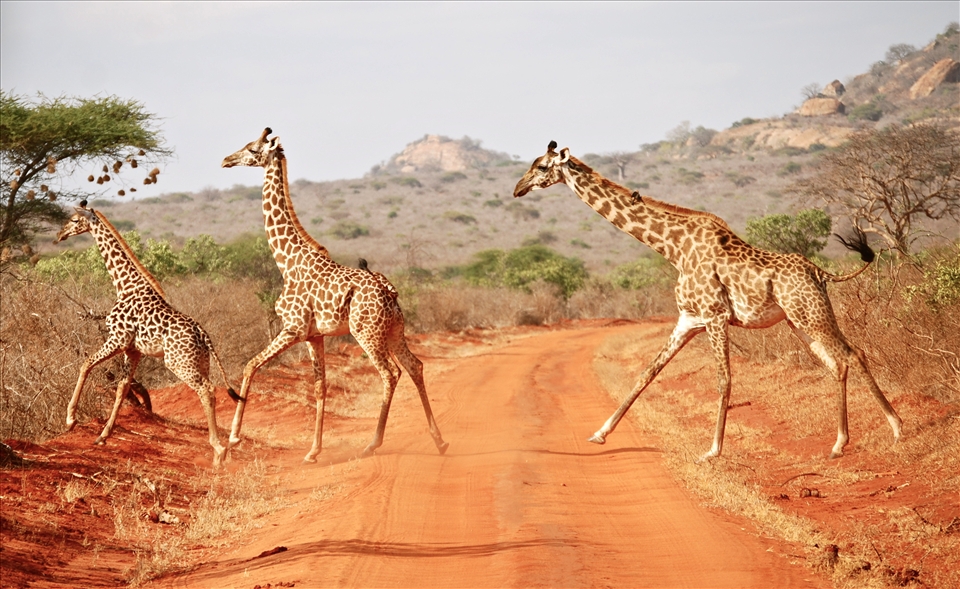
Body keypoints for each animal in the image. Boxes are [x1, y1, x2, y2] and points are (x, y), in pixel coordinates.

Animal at [54, 202, 239, 467]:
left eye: (74, 219)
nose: (59, 235)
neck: (124, 286)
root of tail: (204, 335)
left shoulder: (117, 339)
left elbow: (85, 364)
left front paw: (70, 420)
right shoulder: (133, 350)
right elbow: (122, 387)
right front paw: (102, 436)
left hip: (178, 362)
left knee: (207, 389)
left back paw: (218, 449)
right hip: (201, 362)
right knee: (209, 390)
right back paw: (220, 452)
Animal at [221, 128, 448, 461]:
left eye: (252, 148)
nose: (226, 159)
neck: (286, 261)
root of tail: (390, 293)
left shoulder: (293, 328)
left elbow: (251, 364)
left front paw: (234, 438)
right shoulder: (315, 336)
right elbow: (320, 386)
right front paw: (313, 451)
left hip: (366, 333)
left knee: (390, 372)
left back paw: (372, 444)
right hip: (394, 330)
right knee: (415, 366)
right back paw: (439, 440)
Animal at [514, 141, 902, 461]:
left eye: (542, 167)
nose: (518, 189)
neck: (673, 248)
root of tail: (820, 272)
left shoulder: (715, 316)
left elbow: (723, 379)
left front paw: (712, 450)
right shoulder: (688, 319)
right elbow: (647, 373)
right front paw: (599, 433)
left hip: (812, 315)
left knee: (854, 354)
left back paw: (897, 427)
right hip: (798, 321)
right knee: (837, 363)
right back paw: (838, 444)